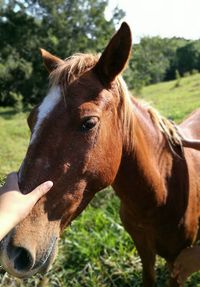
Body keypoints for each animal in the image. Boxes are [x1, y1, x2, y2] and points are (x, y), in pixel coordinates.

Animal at [0, 22, 200, 286]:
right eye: (31, 119)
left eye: (89, 123)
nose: (13, 252)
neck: (162, 193)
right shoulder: (144, 252)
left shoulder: (178, 264)